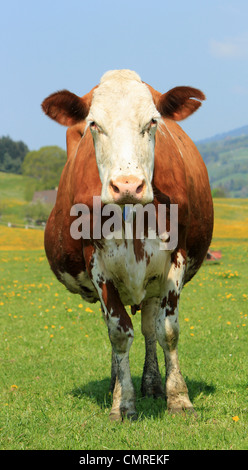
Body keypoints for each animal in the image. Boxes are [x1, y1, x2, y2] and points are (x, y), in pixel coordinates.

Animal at [41, 68, 213, 420]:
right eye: (94, 124)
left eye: (152, 122)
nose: (127, 185)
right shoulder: (97, 263)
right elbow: (119, 334)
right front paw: (124, 403)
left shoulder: (175, 257)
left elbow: (167, 331)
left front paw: (179, 398)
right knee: (120, 329)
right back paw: (117, 386)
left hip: (152, 284)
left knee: (148, 328)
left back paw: (153, 384)